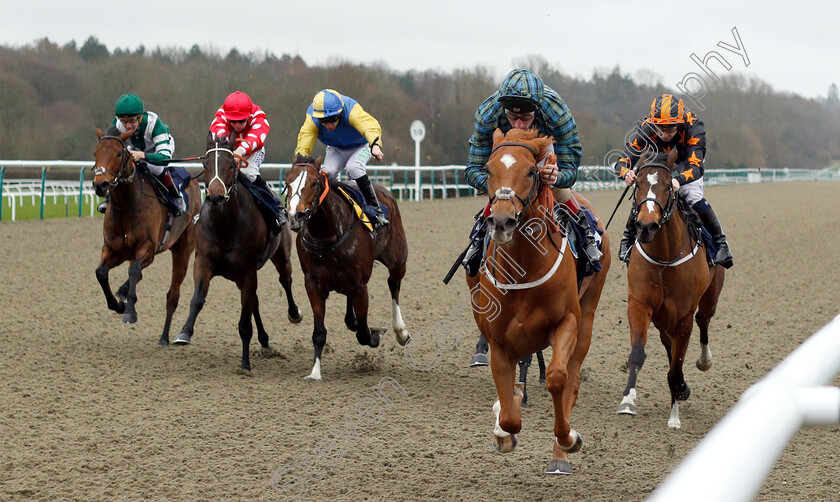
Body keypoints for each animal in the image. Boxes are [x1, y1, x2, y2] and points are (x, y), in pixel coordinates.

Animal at [92, 126, 202, 346]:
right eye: (95, 153)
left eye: (119, 154)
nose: (100, 185)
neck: (127, 204)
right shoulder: (114, 249)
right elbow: (101, 273)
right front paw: (118, 304)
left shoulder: (148, 248)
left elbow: (134, 271)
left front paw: (130, 312)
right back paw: (123, 293)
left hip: (183, 248)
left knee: (172, 295)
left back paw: (165, 337)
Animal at [171, 132, 302, 372]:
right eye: (205, 164)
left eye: (232, 164)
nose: (215, 198)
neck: (225, 225)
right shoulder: (203, 262)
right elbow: (198, 299)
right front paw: (184, 333)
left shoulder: (247, 269)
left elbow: (244, 321)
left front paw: (245, 363)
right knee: (255, 301)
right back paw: (264, 339)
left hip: (280, 256)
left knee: (285, 280)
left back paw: (294, 313)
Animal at [286, 157, 410, 380]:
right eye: (287, 183)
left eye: (314, 183)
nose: (294, 215)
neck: (328, 234)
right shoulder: (313, 283)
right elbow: (319, 333)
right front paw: (315, 372)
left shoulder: (361, 286)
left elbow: (364, 334)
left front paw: (377, 334)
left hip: (398, 259)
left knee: (394, 286)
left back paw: (401, 331)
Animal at [466, 127, 612, 472]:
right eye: (489, 169)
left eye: (532, 171)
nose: (502, 221)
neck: (524, 268)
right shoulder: (499, 339)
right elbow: (509, 414)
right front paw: (503, 431)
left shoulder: (566, 321)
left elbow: (558, 379)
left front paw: (568, 439)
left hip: (588, 314)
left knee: (571, 377)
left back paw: (560, 453)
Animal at [616, 149, 728, 428]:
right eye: (637, 184)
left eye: (668, 185)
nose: (646, 226)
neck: (665, 258)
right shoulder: (640, 304)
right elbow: (638, 353)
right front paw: (628, 401)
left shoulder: (683, 315)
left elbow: (676, 366)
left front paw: (674, 417)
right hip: (662, 318)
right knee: (669, 345)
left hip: (709, 297)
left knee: (703, 321)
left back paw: (703, 361)